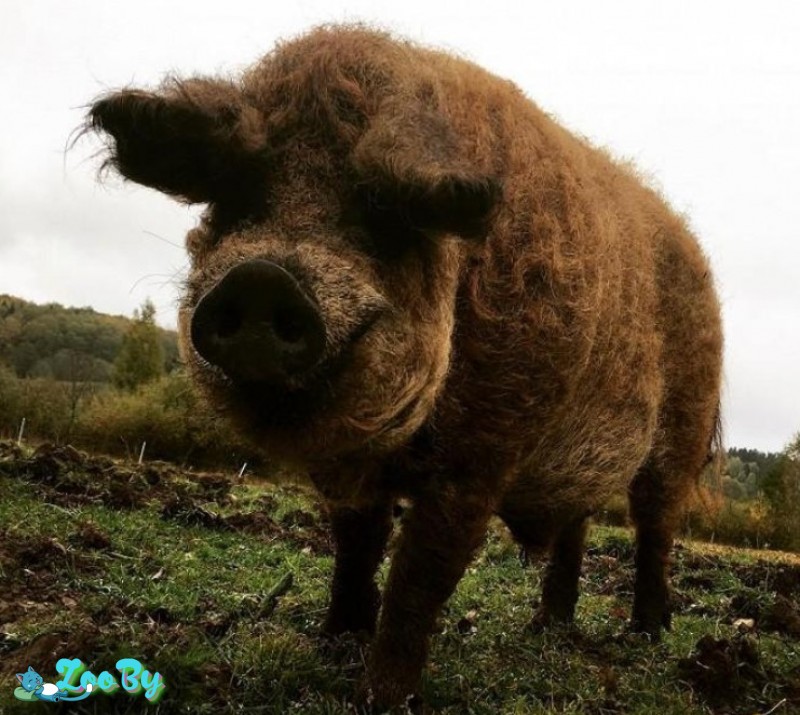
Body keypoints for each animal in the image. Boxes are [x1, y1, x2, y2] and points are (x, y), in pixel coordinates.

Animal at [87, 23, 724, 712]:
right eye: (238, 188)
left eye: (381, 208)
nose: (261, 279)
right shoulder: (346, 463)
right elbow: (356, 544)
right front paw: (334, 645)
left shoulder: (484, 452)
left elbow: (421, 572)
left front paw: (382, 698)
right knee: (574, 525)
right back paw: (545, 629)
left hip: (683, 425)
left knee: (654, 527)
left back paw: (647, 636)